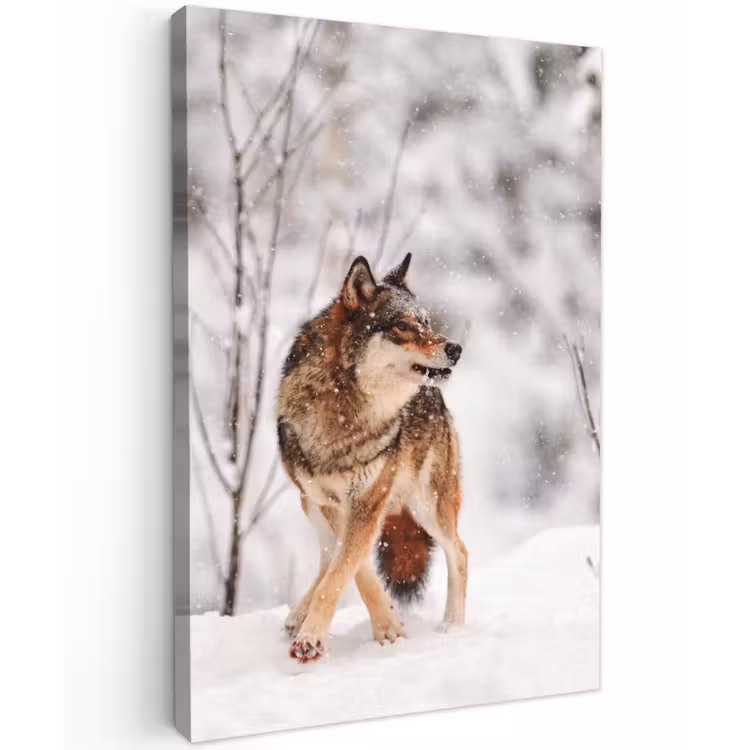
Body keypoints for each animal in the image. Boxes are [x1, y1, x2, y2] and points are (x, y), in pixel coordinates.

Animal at [277, 253, 467, 663]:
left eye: (426, 322)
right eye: (402, 326)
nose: (456, 349)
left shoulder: (368, 501)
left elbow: (344, 569)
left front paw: (314, 637)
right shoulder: (333, 503)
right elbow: (352, 568)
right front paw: (387, 624)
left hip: (429, 506)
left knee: (459, 553)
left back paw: (453, 627)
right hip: (309, 503)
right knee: (327, 556)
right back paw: (297, 615)